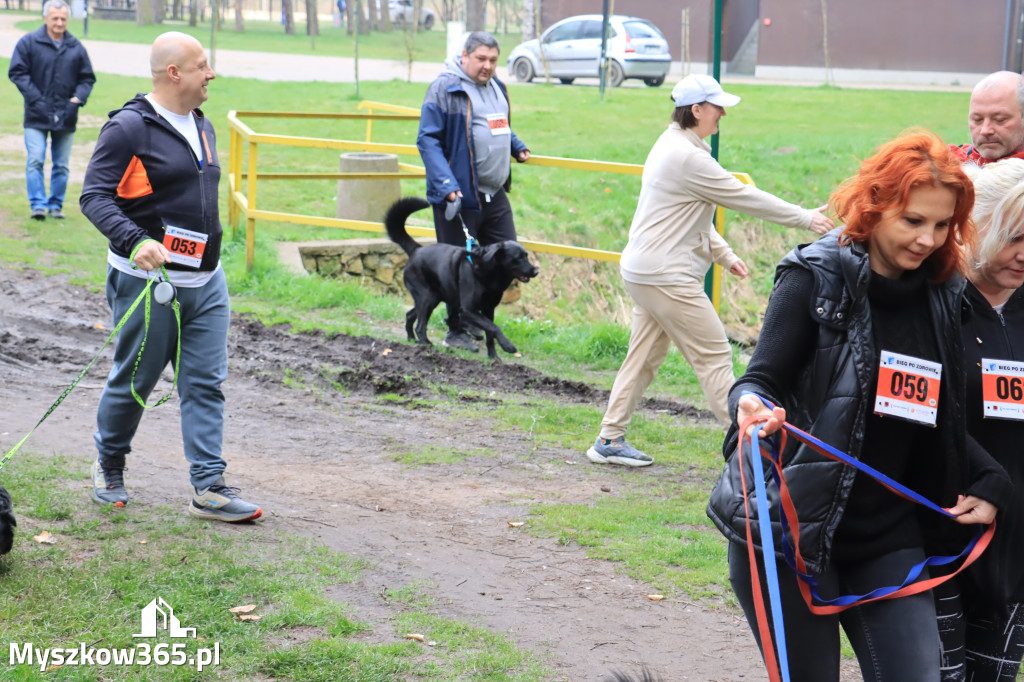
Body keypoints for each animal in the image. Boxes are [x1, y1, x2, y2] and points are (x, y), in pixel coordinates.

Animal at [385, 195, 540, 358]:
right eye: (518, 258)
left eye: (526, 256)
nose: (536, 272)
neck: (489, 271)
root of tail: (416, 250)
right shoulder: (468, 310)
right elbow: (494, 327)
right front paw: (507, 346)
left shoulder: (489, 309)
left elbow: (490, 333)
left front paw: (493, 357)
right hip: (427, 298)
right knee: (420, 326)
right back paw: (427, 346)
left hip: (432, 297)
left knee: (409, 315)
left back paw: (411, 339)